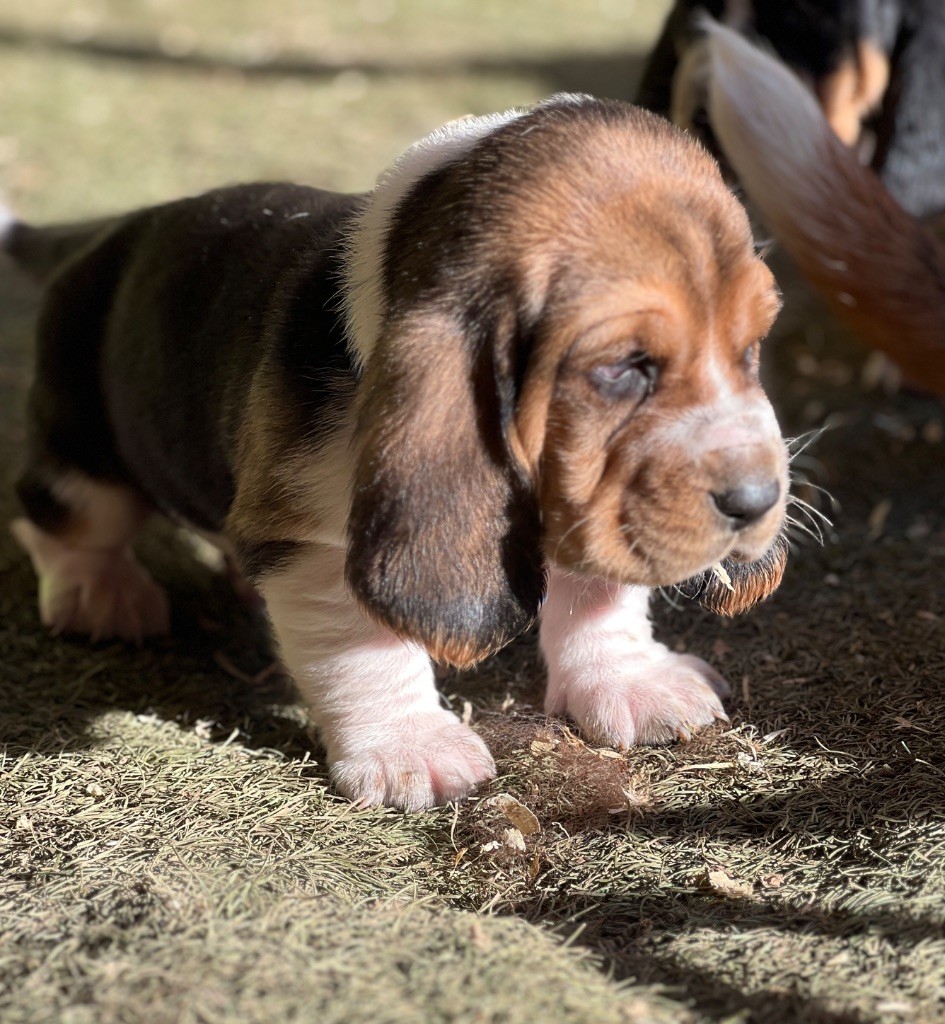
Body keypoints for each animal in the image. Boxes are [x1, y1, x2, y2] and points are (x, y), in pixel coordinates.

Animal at [3, 97, 790, 815]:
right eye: (625, 367)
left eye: (752, 346)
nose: (757, 502)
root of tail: (113, 229)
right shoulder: (313, 539)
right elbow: (364, 646)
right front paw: (409, 746)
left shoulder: (588, 496)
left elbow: (601, 595)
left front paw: (629, 679)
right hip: (84, 457)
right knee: (58, 520)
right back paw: (99, 591)